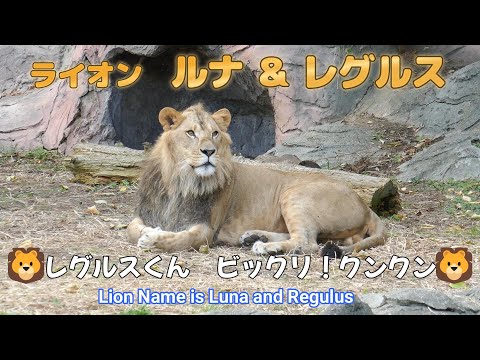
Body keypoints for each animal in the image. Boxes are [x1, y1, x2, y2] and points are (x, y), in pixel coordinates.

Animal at [126, 104, 386, 256]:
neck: (180, 180)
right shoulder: (144, 214)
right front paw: (149, 231)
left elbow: (182, 239)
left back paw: (264, 246)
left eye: (215, 133)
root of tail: (365, 205)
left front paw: (153, 239)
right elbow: (132, 229)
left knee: (307, 242)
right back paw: (255, 236)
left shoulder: (206, 229)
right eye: (190, 133)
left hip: (294, 194)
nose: (209, 151)